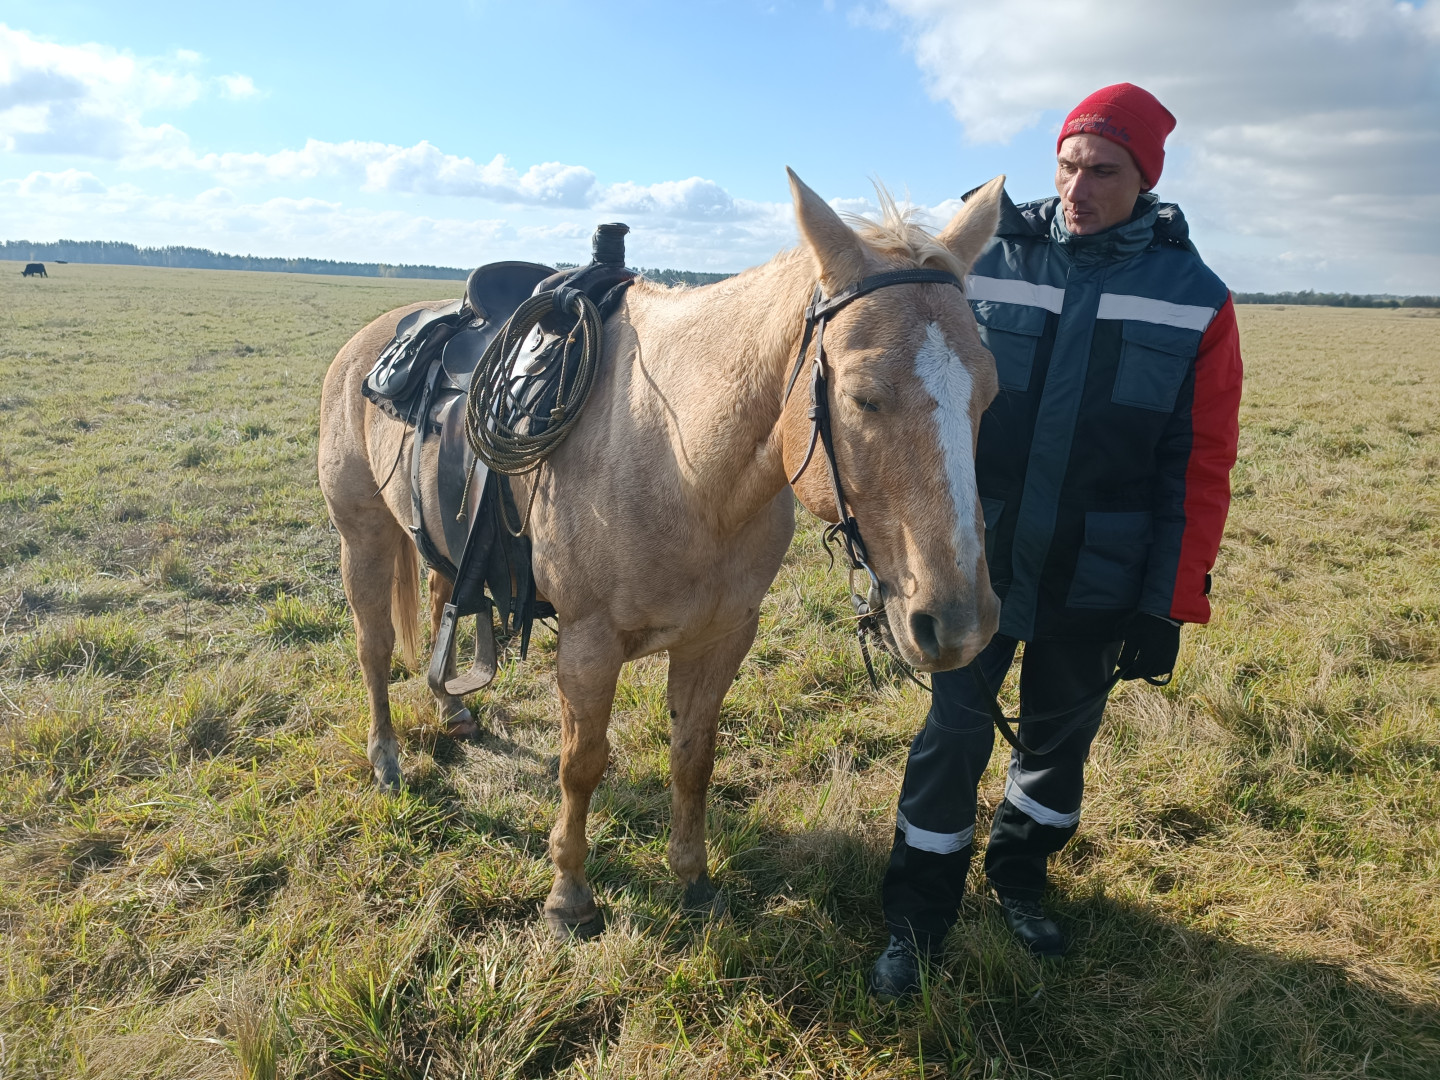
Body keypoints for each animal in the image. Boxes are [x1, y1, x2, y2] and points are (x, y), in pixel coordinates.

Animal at [321, 171, 1008, 938]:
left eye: (989, 393)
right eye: (862, 397)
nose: (959, 625)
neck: (682, 458)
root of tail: (376, 336)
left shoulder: (723, 636)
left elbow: (693, 757)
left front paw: (693, 878)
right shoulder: (588, 645)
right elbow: (581, 765)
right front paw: (570, 895)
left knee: (445, 598)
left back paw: (451, 708)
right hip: (363, 537)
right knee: (374, 648)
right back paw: (386, 760)